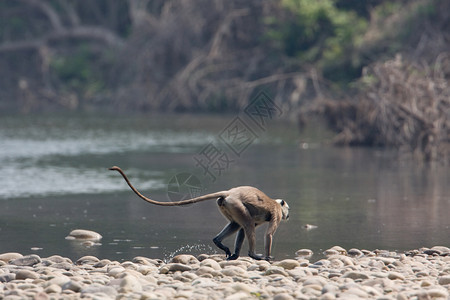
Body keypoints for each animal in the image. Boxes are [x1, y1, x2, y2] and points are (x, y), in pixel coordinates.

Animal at [110, 165, 290, 262]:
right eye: (287, 209)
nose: (288, 215)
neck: (275, 202)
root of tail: (230, 192)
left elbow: (242, 230)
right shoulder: (276, 212)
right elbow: (268, 234)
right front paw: (267, 257)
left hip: (228, 205)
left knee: (239, 224)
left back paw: (220, 243)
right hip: (235, 204)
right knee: (247, 224)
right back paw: (252, 254)